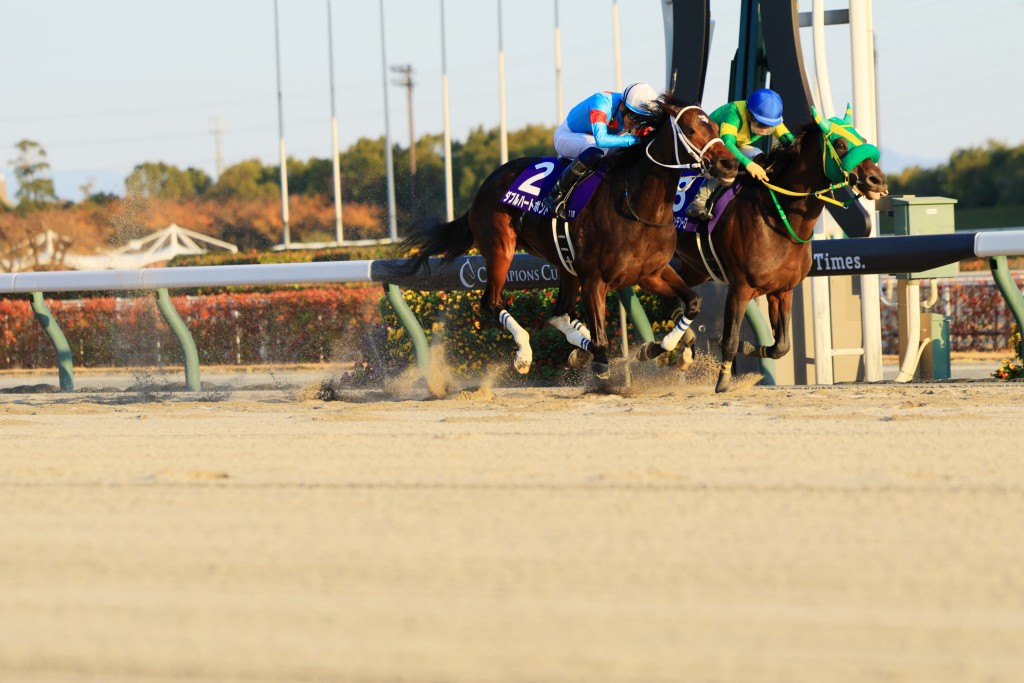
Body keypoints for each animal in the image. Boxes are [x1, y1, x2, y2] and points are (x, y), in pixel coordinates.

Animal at [400, 92, 739, 379]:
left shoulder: (651, 273)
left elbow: (692, 303)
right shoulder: (595, 278)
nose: (729, 163)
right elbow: (601, 341)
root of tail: (486, 185)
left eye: (713, 125)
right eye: (691, 129)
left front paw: (661, 348)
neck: (638, 206)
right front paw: (600, 358)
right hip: (500, 249)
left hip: (565, 264)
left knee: (557, 313)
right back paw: (524, 354)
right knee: (492, 302)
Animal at [638, 106, 889, 392]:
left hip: (695, 267)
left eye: (862, 138)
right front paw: (723, 381)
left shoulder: (783, 290)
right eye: (840, 144)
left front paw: (750, 348)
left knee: (677, 296)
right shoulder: (740, 288)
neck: (779, 220)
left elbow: (782, 345)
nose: (878, 181)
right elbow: (730, 339)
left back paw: (680, 346)